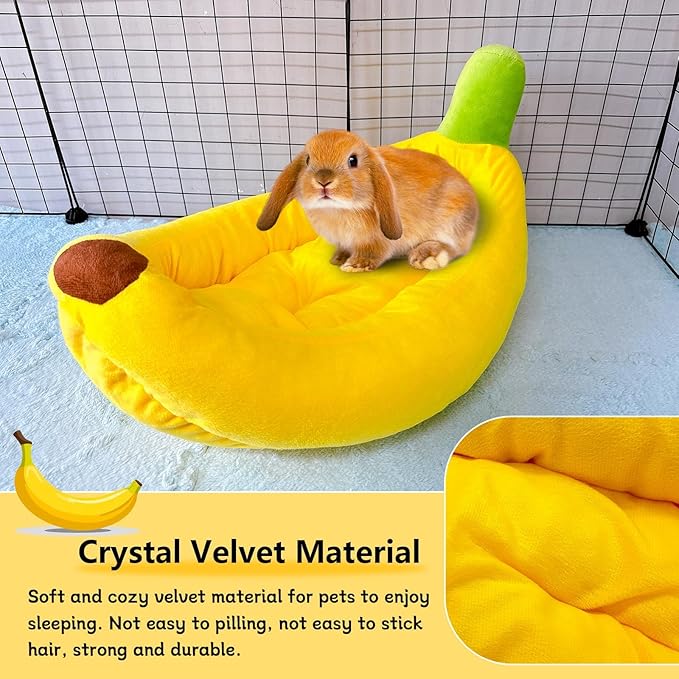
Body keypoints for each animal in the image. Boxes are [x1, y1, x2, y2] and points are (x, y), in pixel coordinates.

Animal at [256, 129, 479, 273]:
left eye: (353, 160)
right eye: (308, 160)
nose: (323, 181)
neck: (338, 210)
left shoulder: (376, 242)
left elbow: (372, 253)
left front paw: (353, 266)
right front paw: (338, 259)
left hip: (452, 219)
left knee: (455, 248)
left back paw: (426, 257)